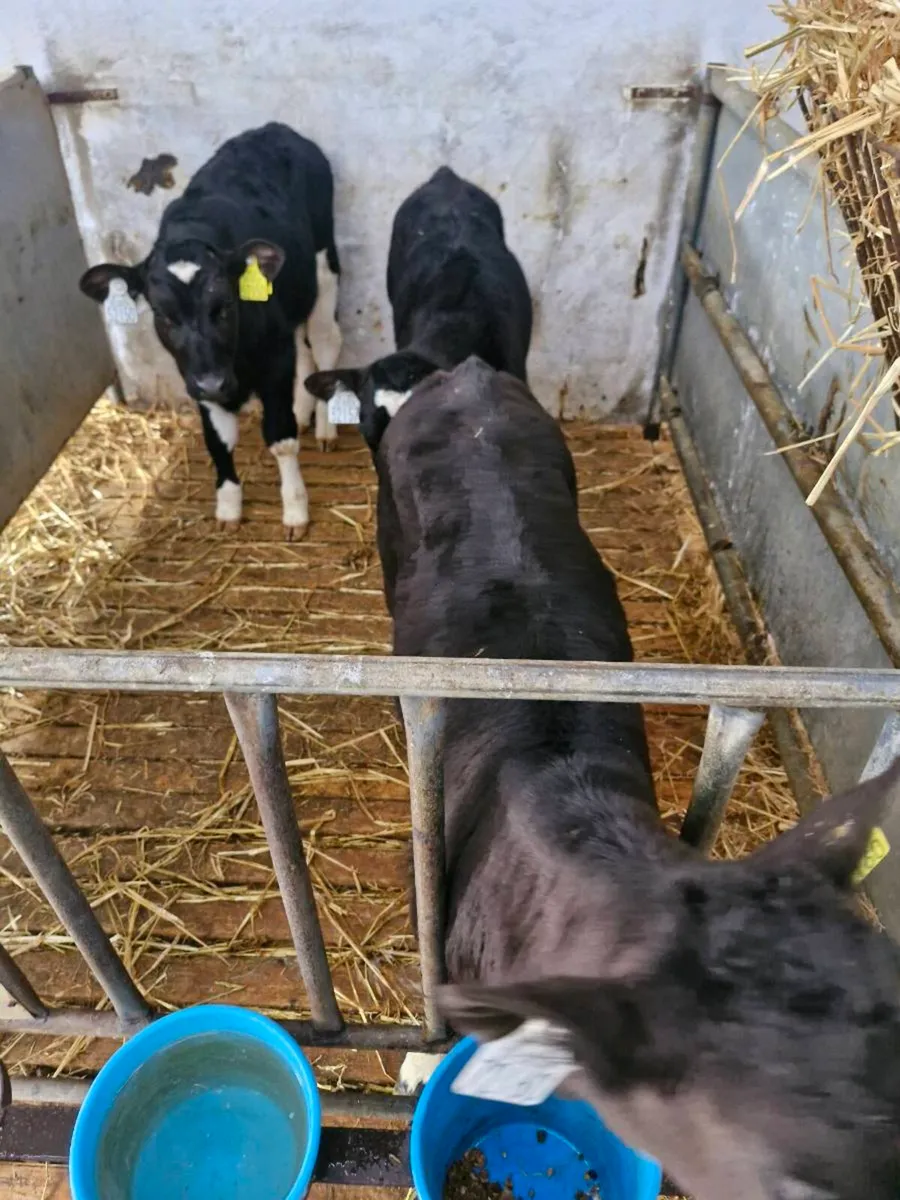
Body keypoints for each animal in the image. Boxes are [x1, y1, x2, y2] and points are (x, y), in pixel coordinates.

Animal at [79, 122, 342, 541]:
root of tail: (273, 129)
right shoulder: (196, 375)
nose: (214, 383)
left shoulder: (271, 361)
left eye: (225, 306)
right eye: (163, 315)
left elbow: (281, 439)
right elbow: (218, 441)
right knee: (302, 347)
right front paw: (228, 506)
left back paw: (326, 426)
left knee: (325, 340)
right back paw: (304, 410)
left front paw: (295, 509)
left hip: (323, 261)